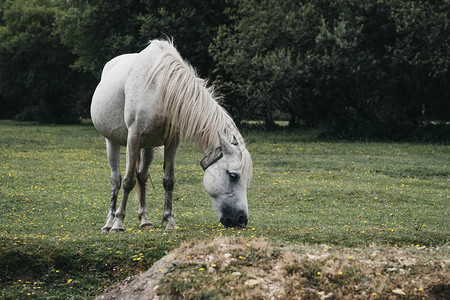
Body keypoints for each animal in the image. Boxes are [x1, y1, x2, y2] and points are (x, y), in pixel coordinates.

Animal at [91, 39, 253, 232]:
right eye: (233, 176)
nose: (242, 220)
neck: (160, 88)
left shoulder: (172, 142)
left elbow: (168, 181)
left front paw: (169, 221)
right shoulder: (133, 137)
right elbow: (128, 181)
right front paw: (118, 223)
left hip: (148, 146)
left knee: (142, 177)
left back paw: (144, 220)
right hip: (112, 141)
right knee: (116, 180)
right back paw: (109, 222)